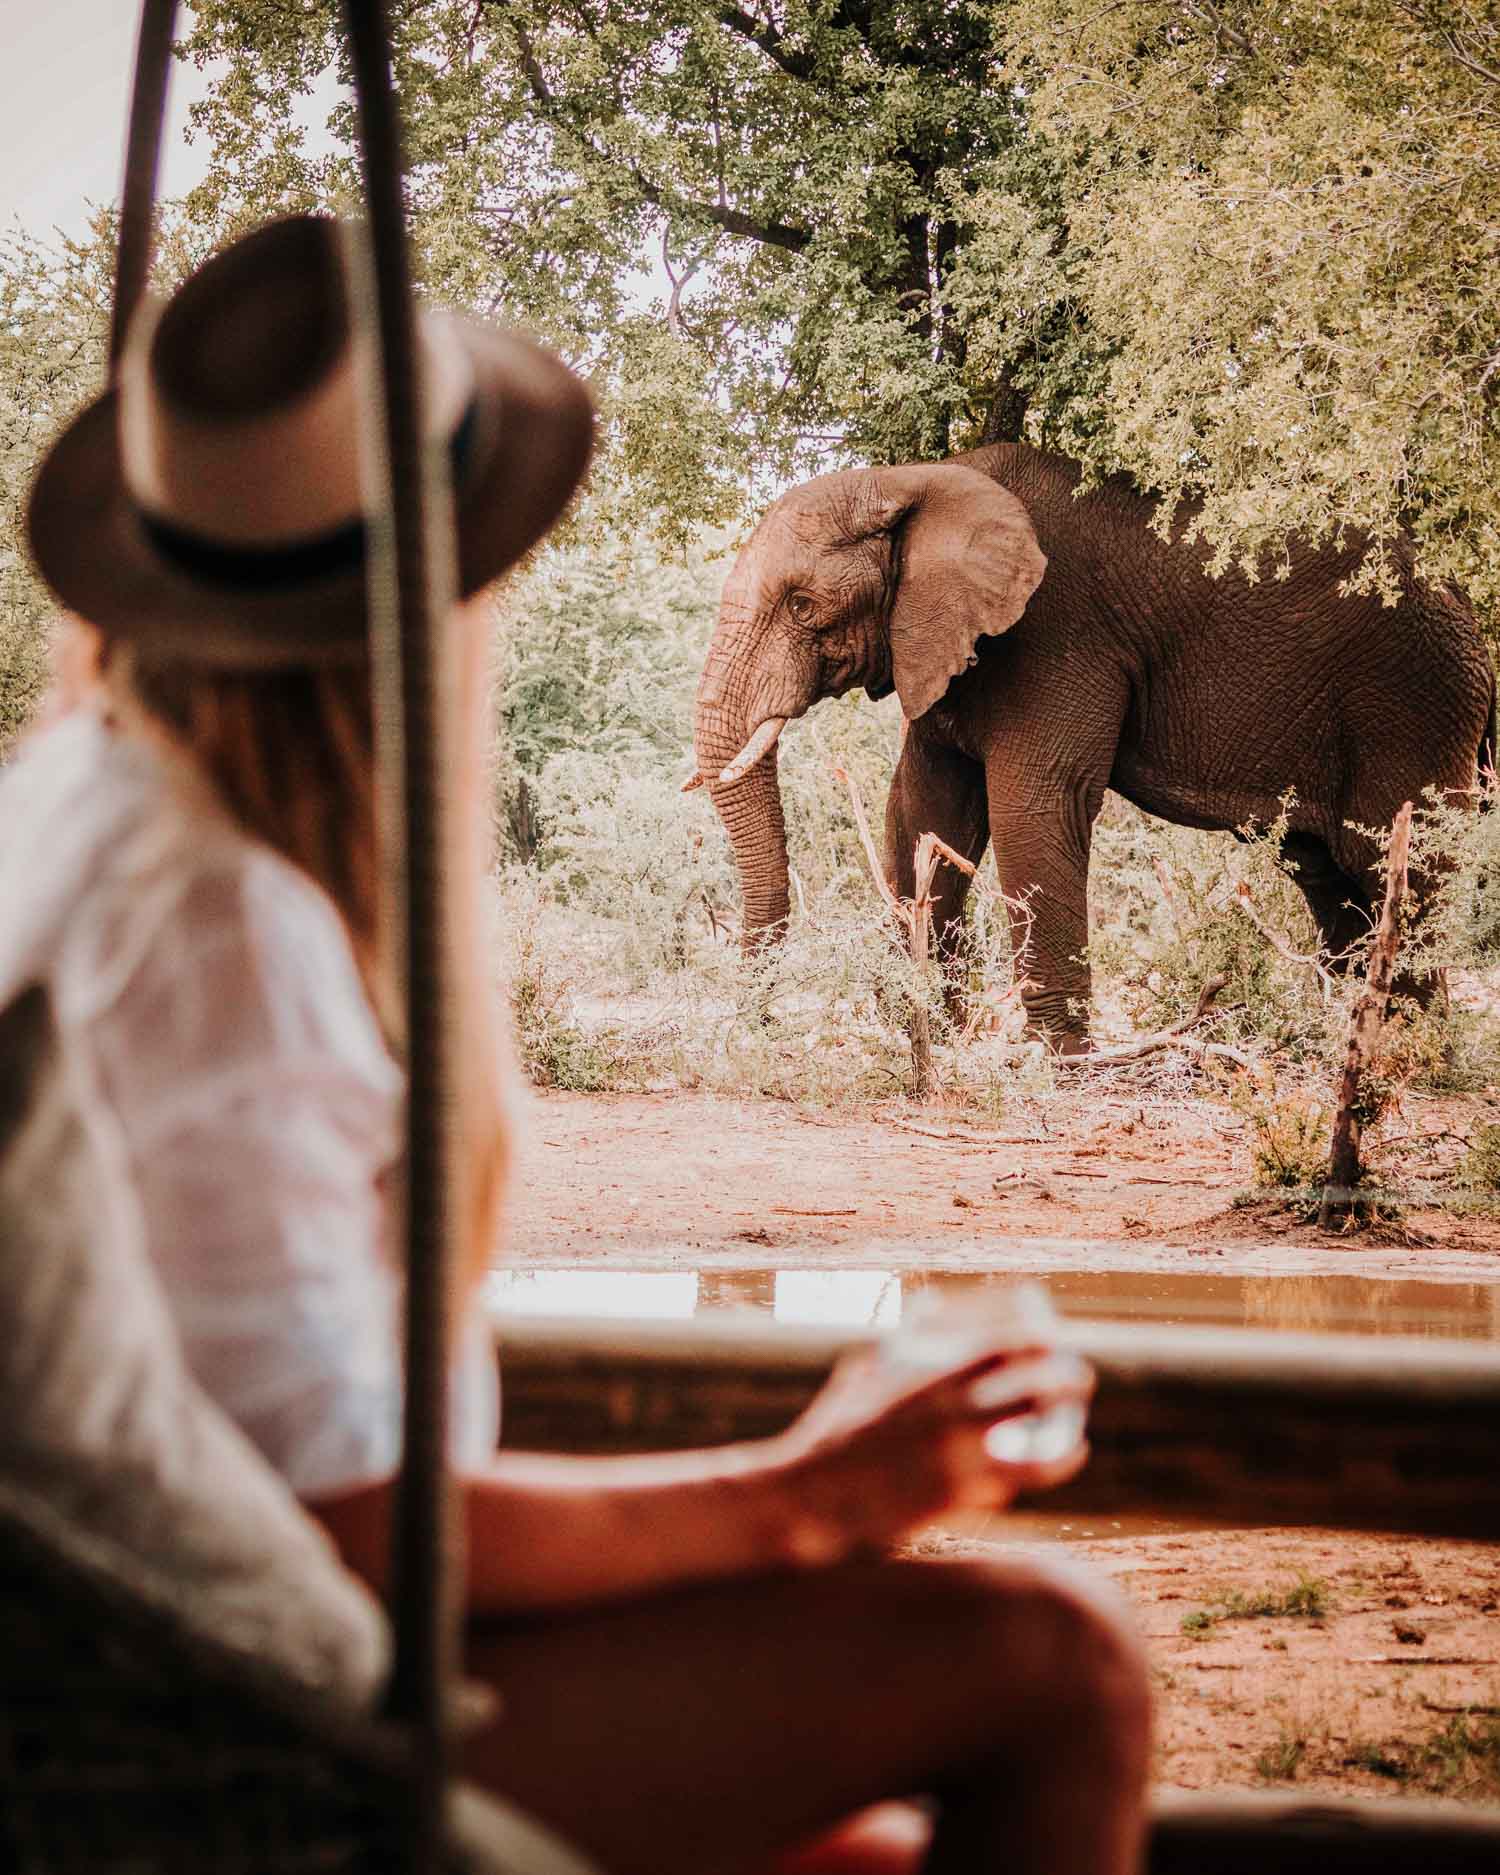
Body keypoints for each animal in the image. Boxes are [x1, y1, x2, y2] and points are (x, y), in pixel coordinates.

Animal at [688, 442, 1496, 1053]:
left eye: (803, 608)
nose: (758, 1029)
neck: (913, 479)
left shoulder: (1056, 636)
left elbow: (1036, 807)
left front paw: (1056, 1061)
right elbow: (925, 814)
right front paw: (936, 1037)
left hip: (1412, 707)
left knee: (1398, 866)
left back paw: (1409, 1053)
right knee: (1330, 877)